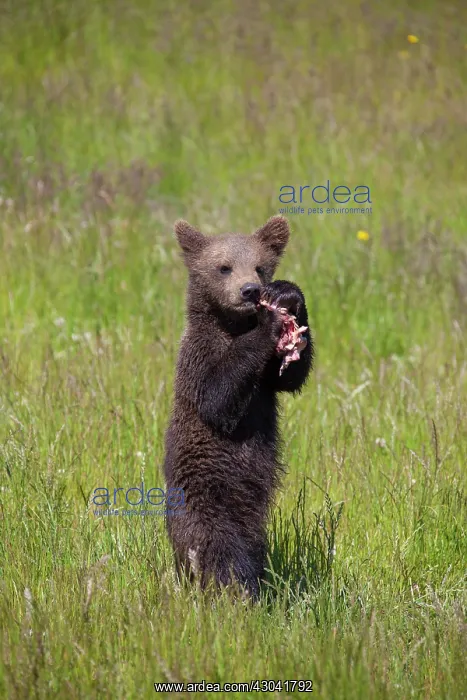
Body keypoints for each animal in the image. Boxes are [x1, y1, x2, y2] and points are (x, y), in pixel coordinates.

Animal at [163, 215, 313, 599]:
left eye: (260, 266)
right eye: (224, 267)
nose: (250, 291)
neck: (230, 325)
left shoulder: (266, 381)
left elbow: (290, 376)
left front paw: (289, 295)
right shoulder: (199, 357)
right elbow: (218, 398)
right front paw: (270, 322)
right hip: (207, 494)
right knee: (218, 547)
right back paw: (236, 587)